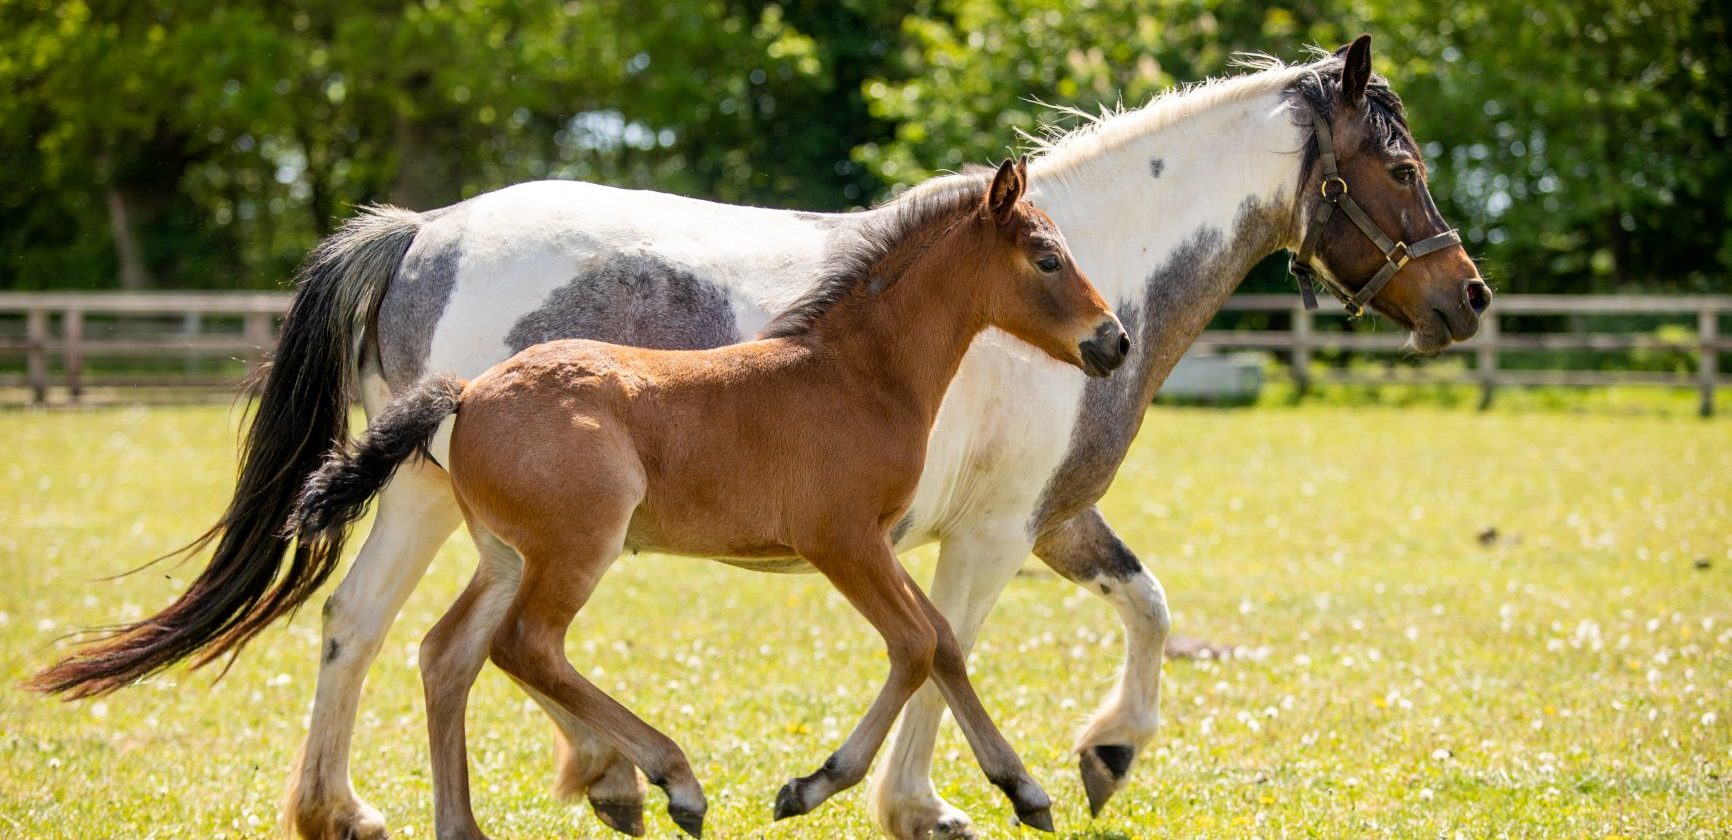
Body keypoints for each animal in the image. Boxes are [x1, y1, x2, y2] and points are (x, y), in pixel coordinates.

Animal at [290, 158, 1129, 838]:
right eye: (1048, 258)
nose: (1114, 341)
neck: (856, 374)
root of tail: (465, 393)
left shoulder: (877, 543)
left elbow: (944, 643)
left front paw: (1024, 790)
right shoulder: (842, 541)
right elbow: (916, 644)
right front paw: (812, 785)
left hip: (505, 554)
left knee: (449, 650)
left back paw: (464, 823)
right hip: (576, 548)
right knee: (524, 645)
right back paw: (673, 780)